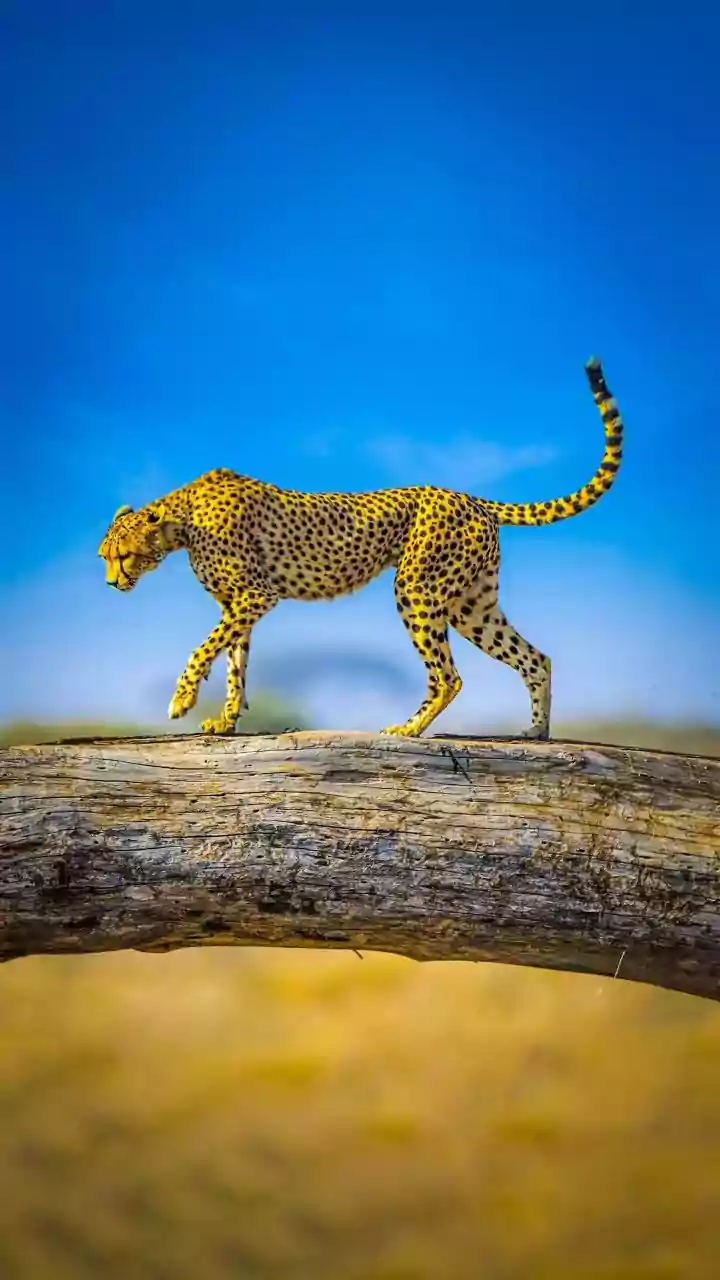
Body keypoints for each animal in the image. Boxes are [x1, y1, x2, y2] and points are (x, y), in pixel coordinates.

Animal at [97, 356, 623, 739]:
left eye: (122, 556)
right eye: (106, 558)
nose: (111, 583)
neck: (181, 518)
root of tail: (470, 497)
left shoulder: (255, 596)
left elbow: (203, 649)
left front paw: (182, 700)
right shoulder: (238, 605)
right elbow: (234, 662)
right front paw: (226, 720)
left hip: (417, 589)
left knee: (449, 675)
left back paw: (410, 728)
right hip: (472, 604)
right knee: (535, 658)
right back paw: (536, 732)